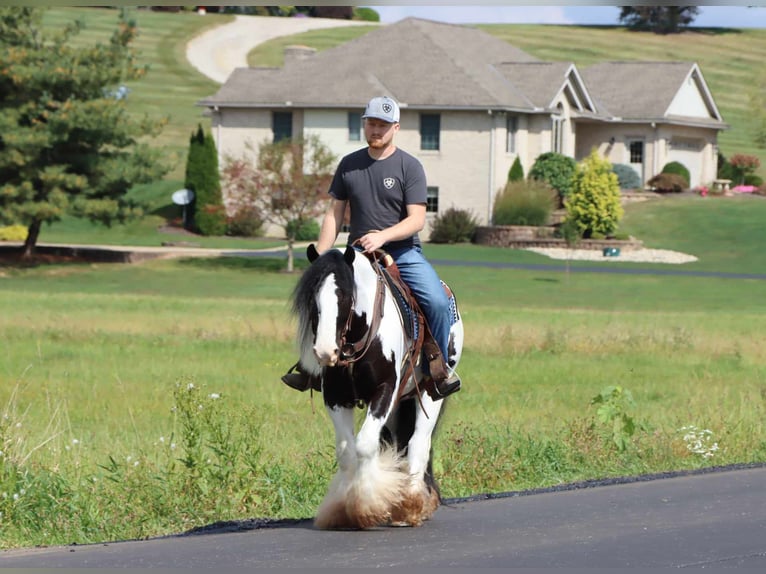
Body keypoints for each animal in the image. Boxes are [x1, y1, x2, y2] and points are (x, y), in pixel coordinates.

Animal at [292, 245, 462, 528]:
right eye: (312, 296)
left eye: (345, 295)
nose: (325, 351)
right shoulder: (336, 398)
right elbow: (348, 451)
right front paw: (343, 509)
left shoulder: (384, 391)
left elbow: (365, 444)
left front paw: (366, 506)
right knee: (398, 442)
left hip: (430, 394)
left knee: (418, 443)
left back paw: (409, 507)